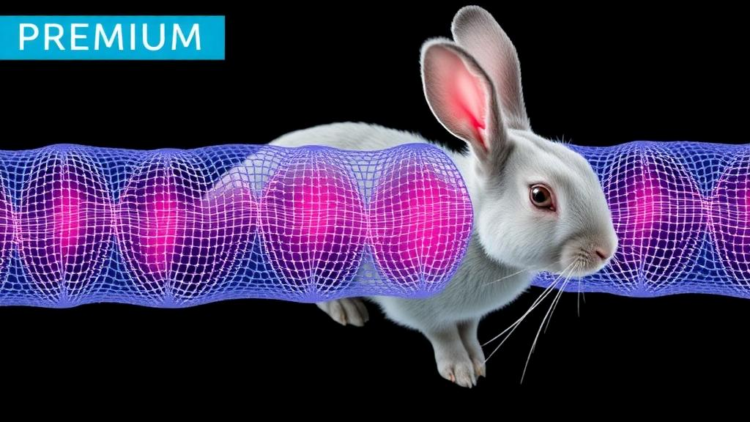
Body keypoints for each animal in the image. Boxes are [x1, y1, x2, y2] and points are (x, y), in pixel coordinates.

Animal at [208, 5, 619, 388]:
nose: (605, 251)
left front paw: (478, 363)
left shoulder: (469, 315)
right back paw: (347, 310)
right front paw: (460, 372)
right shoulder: (419, 306)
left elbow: (468, 330)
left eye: (583, 164)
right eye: (540, 196)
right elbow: (442, 335)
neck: (473, 233)